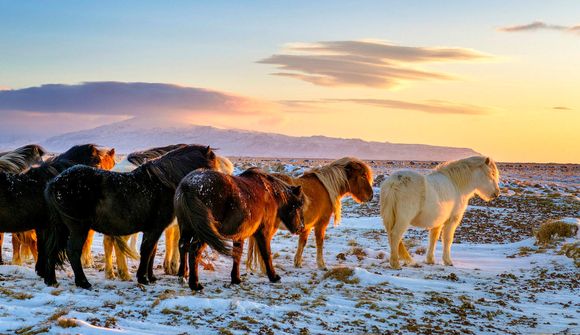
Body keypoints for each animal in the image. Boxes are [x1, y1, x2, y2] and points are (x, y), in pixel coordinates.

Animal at [43, 144, 218, 288]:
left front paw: (150, 277)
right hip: (77, 228)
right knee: (73, 251)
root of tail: (53, 183)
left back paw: (51, 280)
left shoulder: (152, 229)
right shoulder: (155, 228)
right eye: (212, 165)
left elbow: (151, 251)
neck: (162, 183)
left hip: (61, 227)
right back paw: (83, 282)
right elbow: (147, 250)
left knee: (52, 249)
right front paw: (143, 278)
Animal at [173, 168, 306, 292]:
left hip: (186, 228)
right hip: (202, 233)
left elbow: (237, 254)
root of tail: (188, 186)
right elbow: (266, 253)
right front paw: (274, 277)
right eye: (298, 205)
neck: (269, 192)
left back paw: (182, 276)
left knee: (182, 246)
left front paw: (236, 279)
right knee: (194, 251)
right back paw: (195, 284)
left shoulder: (239, 235)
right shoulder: (263, 232)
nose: (300, 228)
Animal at [246, 158, 374, 272]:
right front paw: (322, 265)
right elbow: (319, 242)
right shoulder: (321, 223)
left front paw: (297, 263)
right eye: (363, 175)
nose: (371, 196)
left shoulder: (306, 225)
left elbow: (302, 243)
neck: (326, 188)